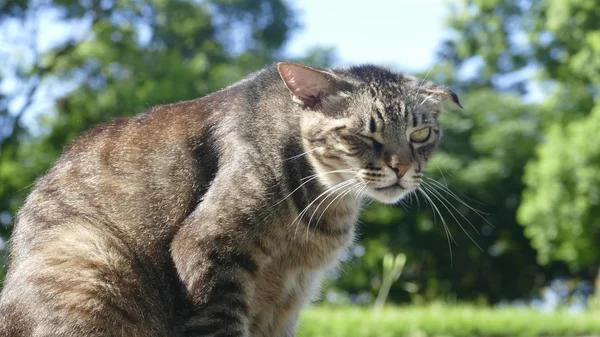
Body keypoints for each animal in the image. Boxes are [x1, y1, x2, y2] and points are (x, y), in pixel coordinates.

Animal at [0, 61, 460, 334]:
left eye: (421, 134)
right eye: (365, 134)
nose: (401, 166)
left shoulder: (289, 299)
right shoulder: (208, 253)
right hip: (90, 263)